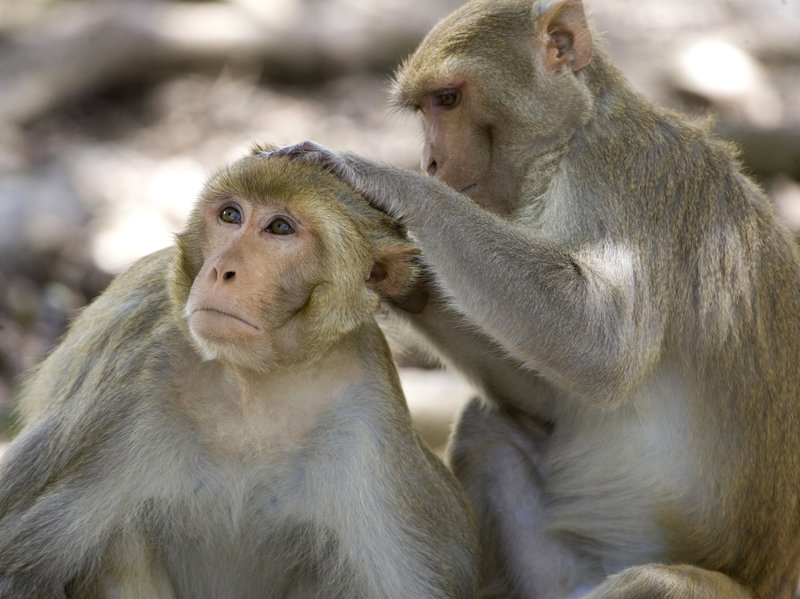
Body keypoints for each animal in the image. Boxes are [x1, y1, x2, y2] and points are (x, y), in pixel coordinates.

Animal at [0, 149, 478, 599]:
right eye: (231, 215)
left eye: (281, 228)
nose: (219, 270)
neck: (256, 381)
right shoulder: (132, 376)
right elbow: (14, 567)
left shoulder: (369, 420)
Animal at [272, 1, 800, 599]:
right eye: (426, 107)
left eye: (447, 99)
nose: (430, 162)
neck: (571, 138)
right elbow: (550, 398)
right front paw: (397, 279)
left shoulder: (622, 174)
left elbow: (600, 346)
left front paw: (380, 180)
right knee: (489, 428)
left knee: (657, 582)